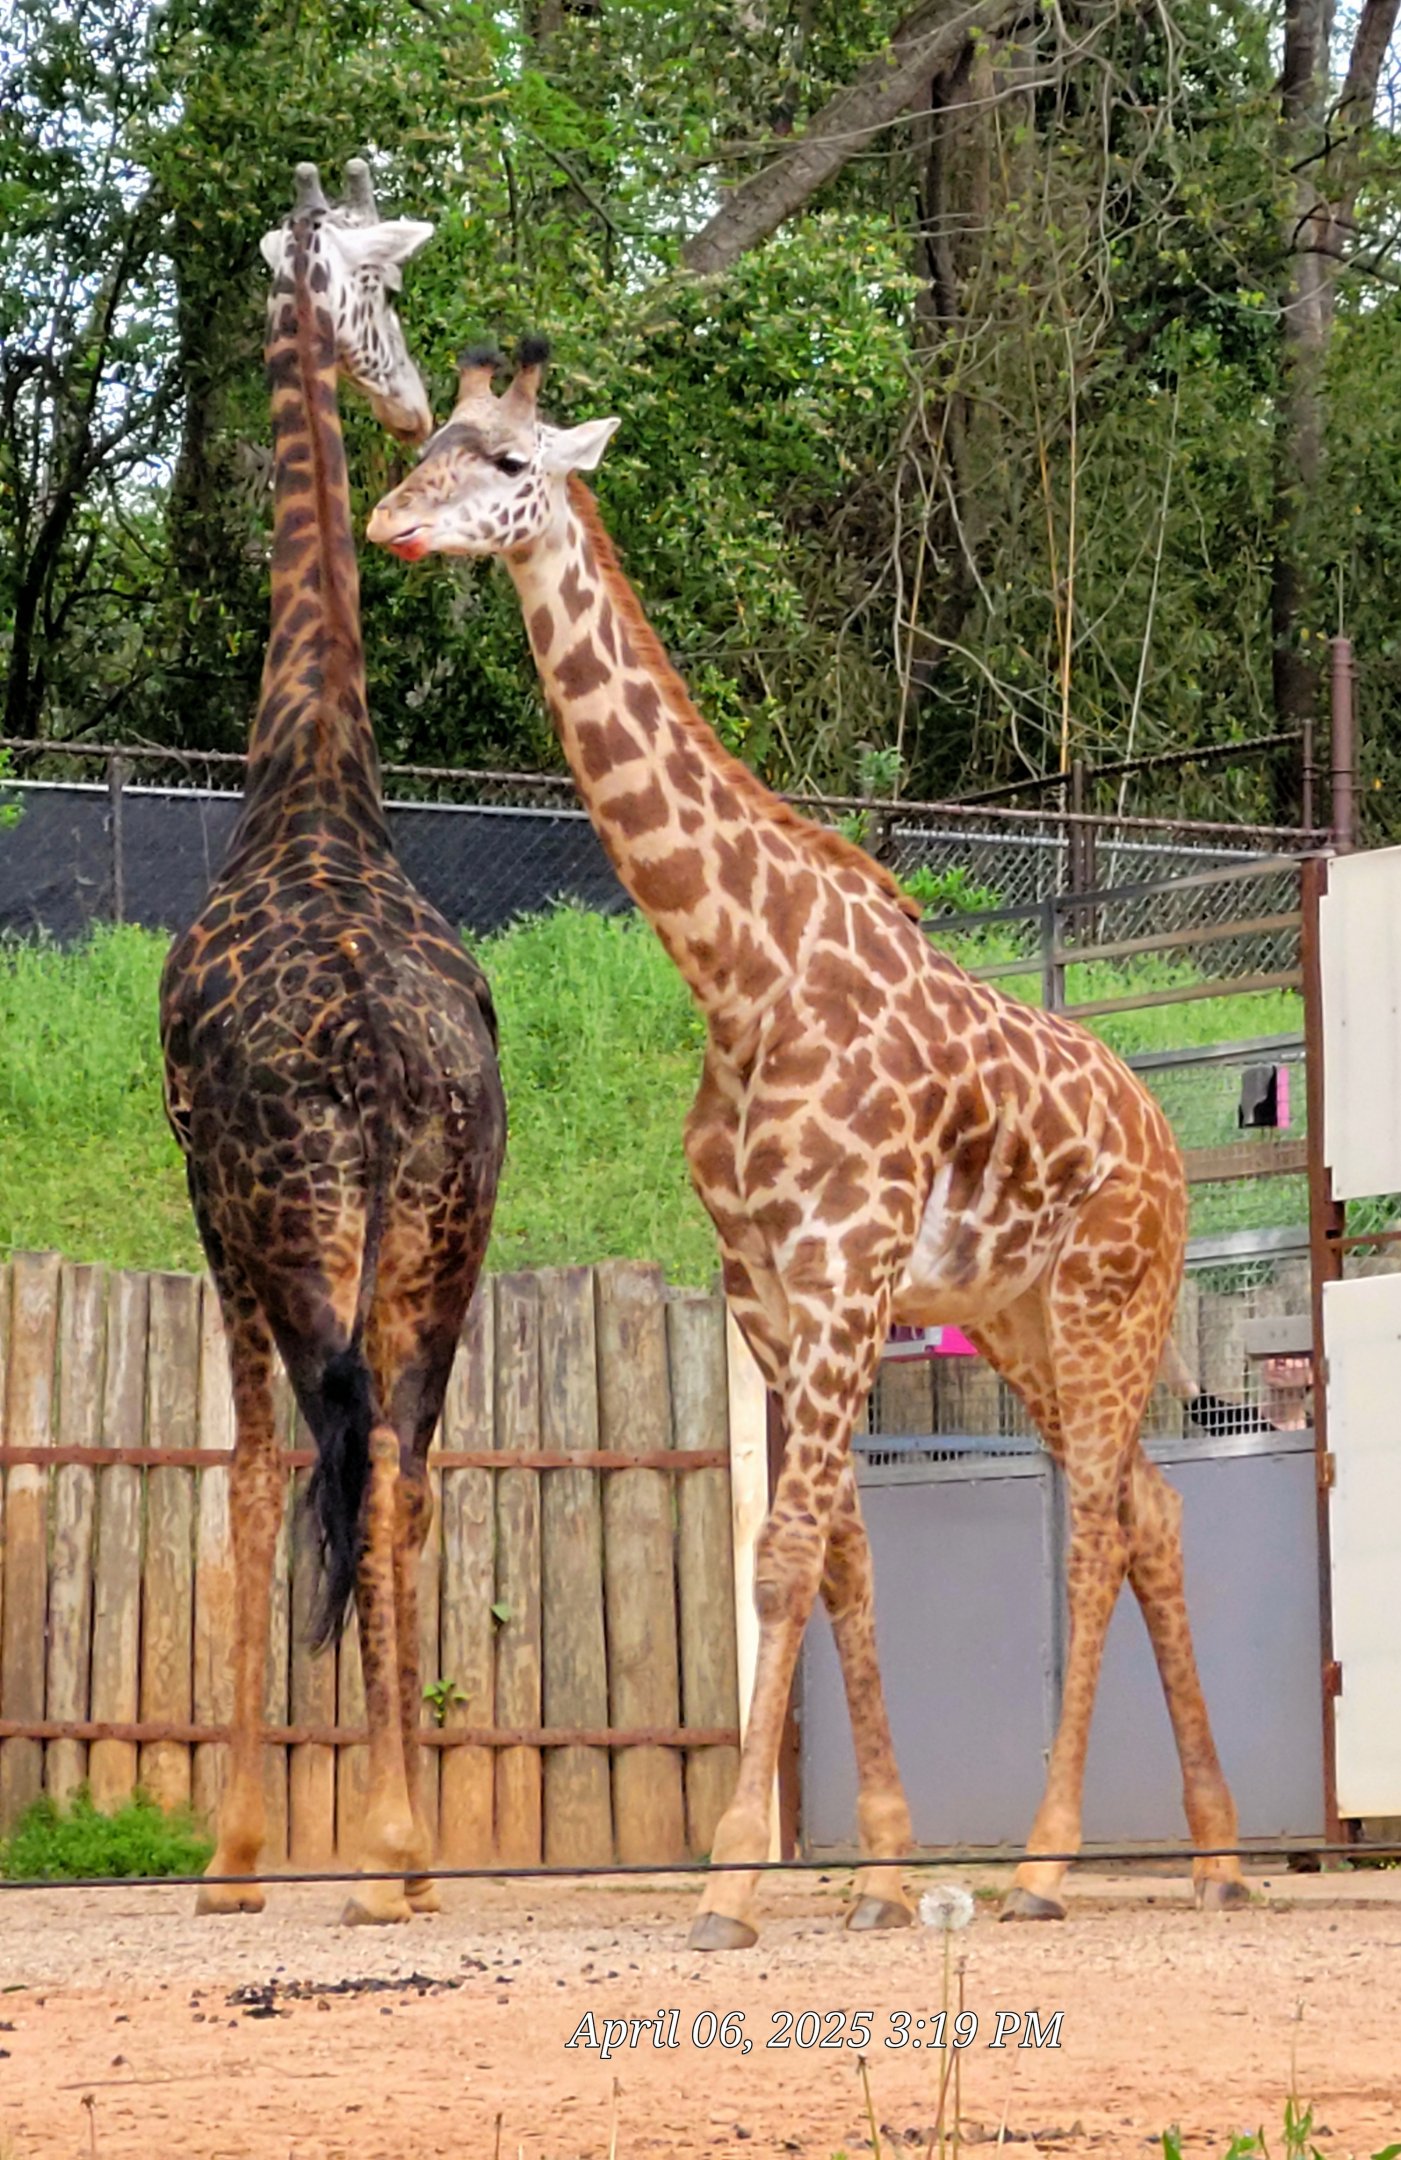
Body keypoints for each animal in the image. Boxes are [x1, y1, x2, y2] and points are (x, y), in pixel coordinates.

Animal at [365, 342, 1246, 1949]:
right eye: (431, 440)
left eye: (510, 463)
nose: (393, 521)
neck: (740, 968)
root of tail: (1163, 1133)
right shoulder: (770, 1288)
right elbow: (838, 1551)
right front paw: (884, 1873)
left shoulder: (841, 1271)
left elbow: (781, 1558)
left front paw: (730, 1881)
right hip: (1020, 1316)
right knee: (1150, 1508)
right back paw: (1213, 1852)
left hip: (1107, 1303)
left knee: (1097, 1524)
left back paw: (1044, 1863)